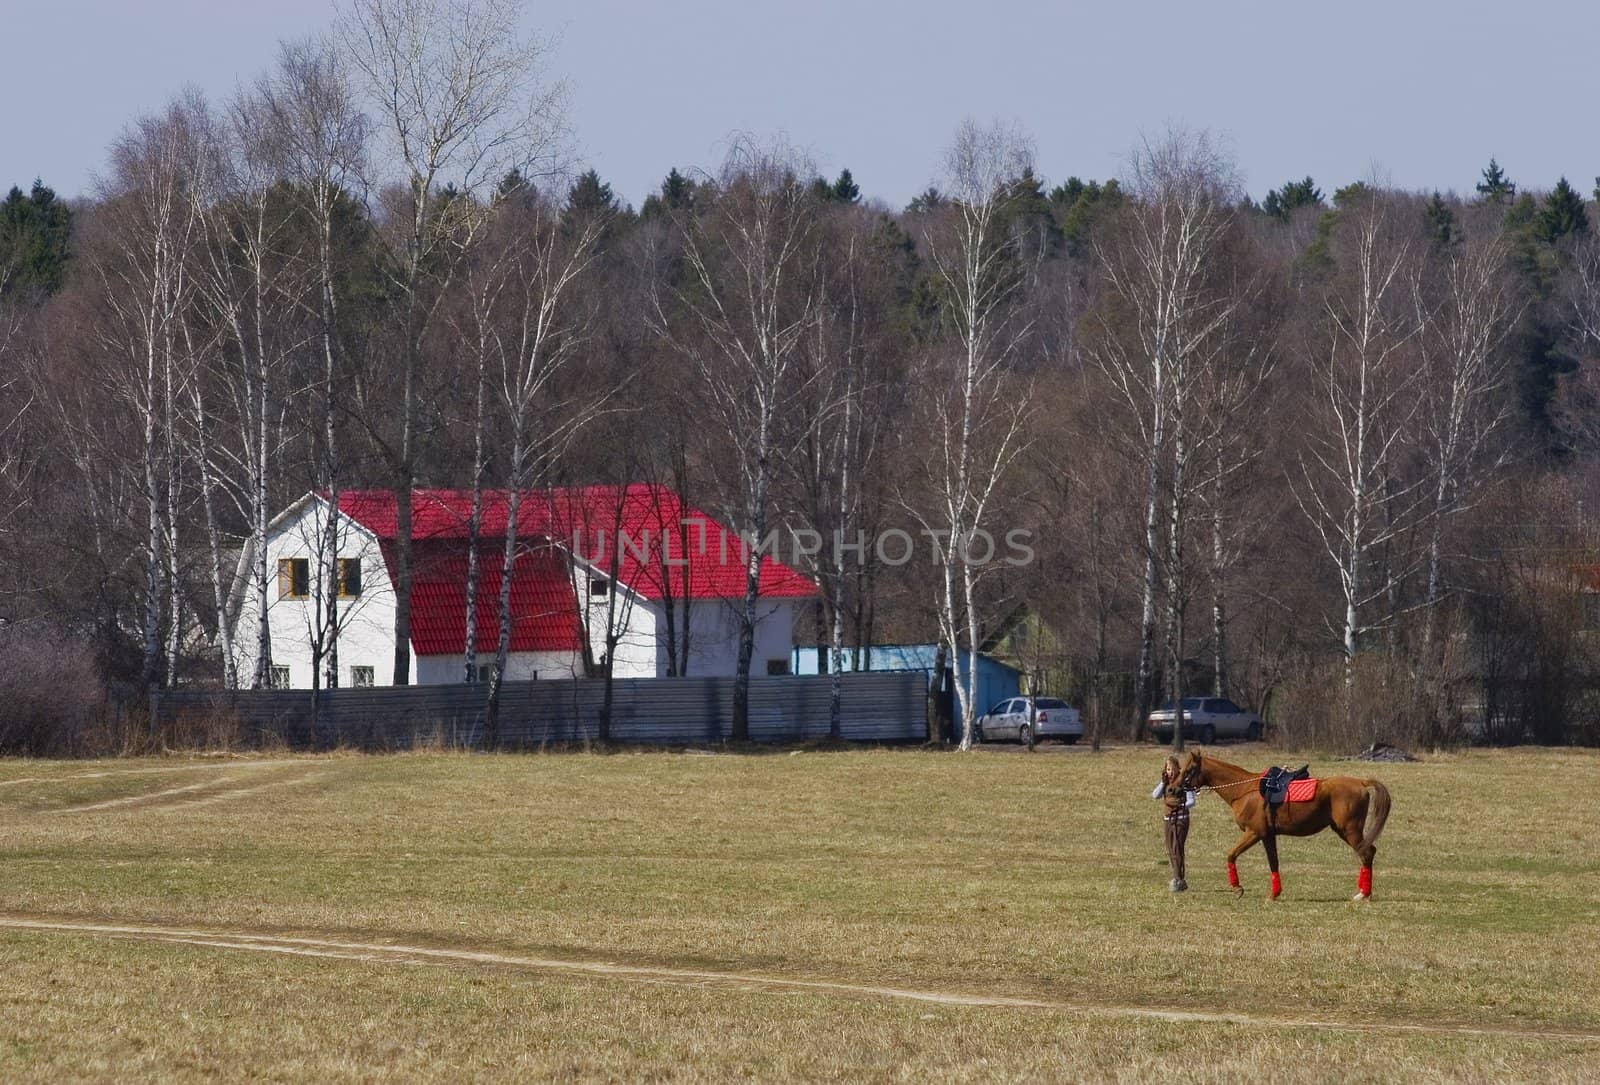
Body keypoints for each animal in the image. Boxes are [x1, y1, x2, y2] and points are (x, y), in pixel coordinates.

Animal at [1171, 752, 1395, 902]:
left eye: (1189, 770)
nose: (1172, 789)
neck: (1244, 789)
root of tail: (1361, 782)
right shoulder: (1267, 835)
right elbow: (1274, 863)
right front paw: (1274, 893)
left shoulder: (1254, 833)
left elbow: (1231, 855)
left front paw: (1237, 888)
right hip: (1344, 830)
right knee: (1368, 852)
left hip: (1350, 830)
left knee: (1366, 853)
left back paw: (1364, 894)